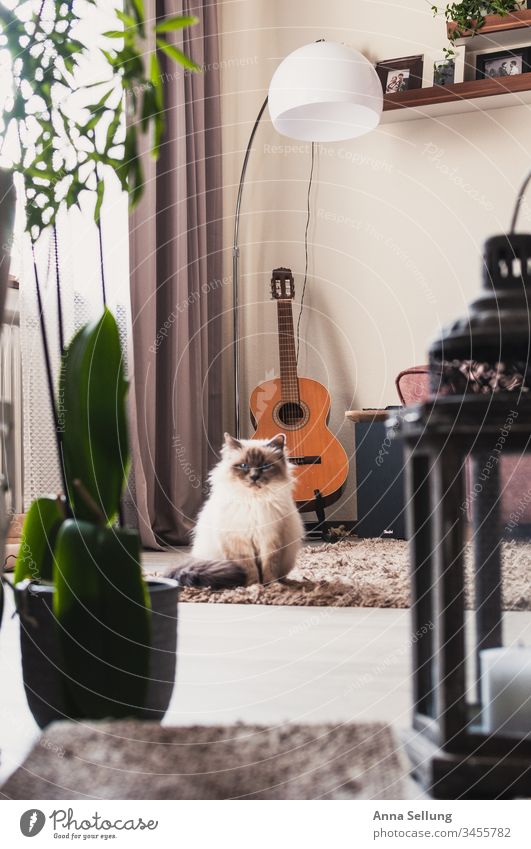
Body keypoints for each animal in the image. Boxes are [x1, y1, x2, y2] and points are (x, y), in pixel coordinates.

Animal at [170, 430, 304, 588]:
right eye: (244, 466)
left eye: (265, 466)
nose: (254, 477)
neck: (253, 501)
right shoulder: (238, 541)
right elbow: (249, 568)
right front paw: (253, 586)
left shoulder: (270, 537)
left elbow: (269, 566)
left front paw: (272, 586)